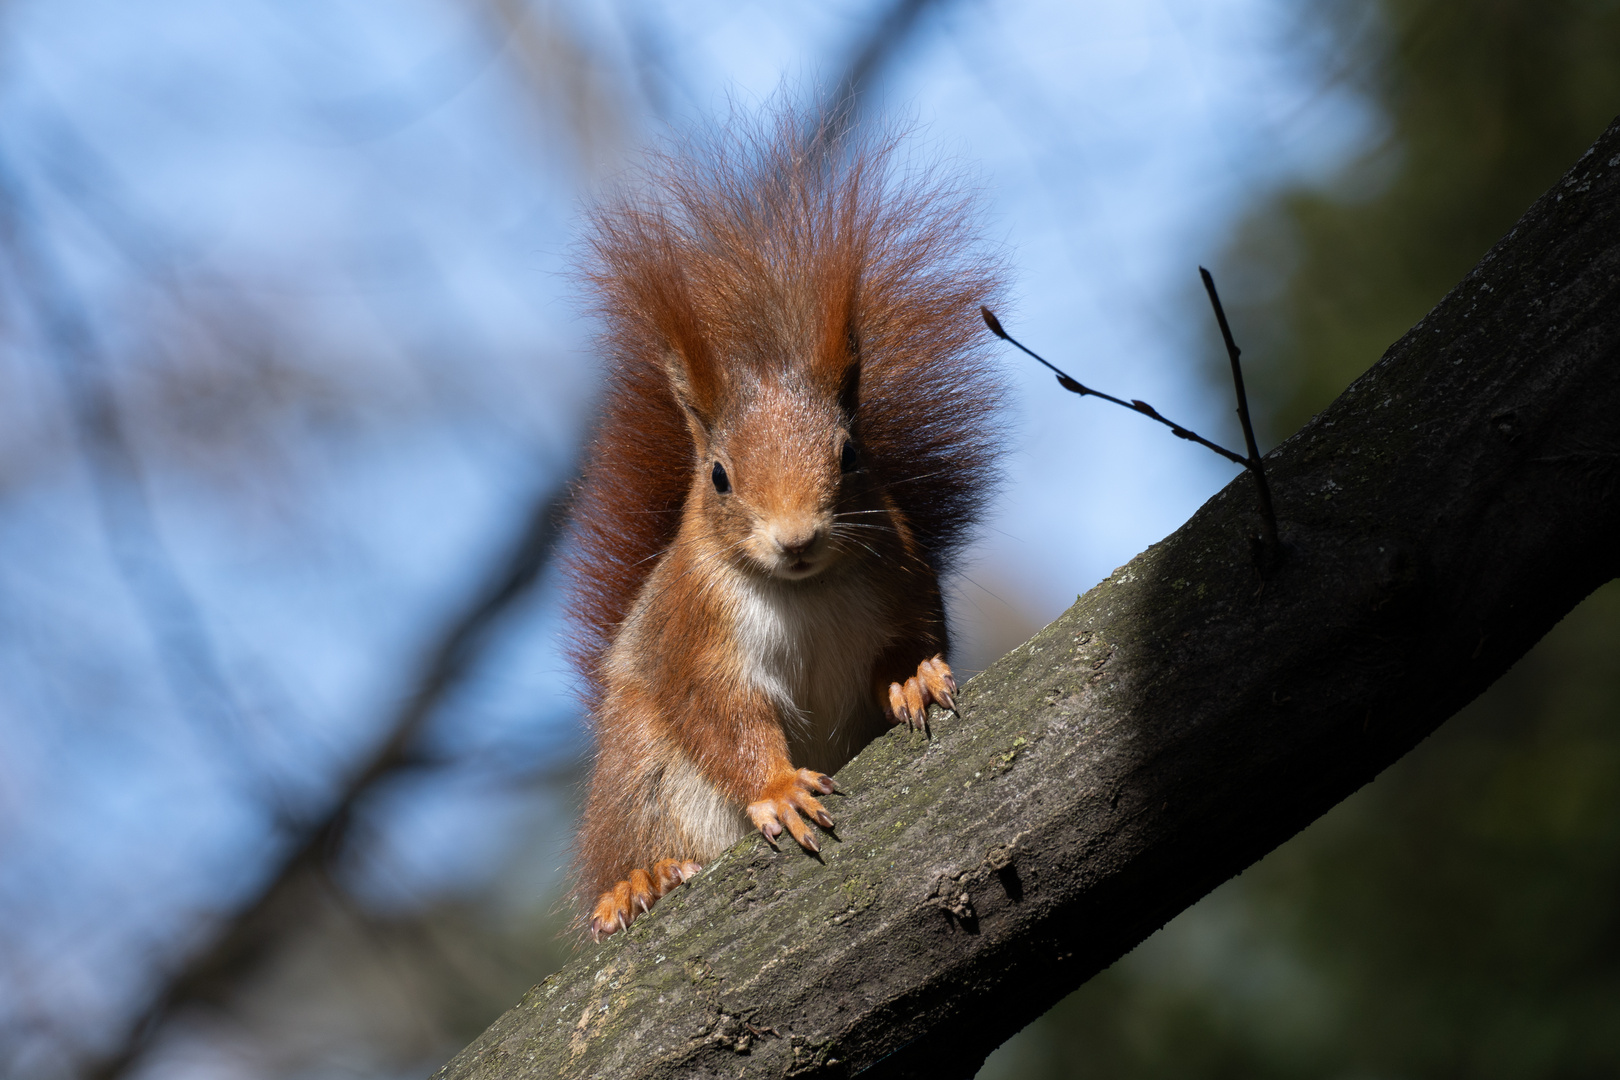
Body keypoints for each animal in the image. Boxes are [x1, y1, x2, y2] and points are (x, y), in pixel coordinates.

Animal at [567, 107, 997, 939]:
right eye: (719, 477)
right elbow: (725, 721)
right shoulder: (697, 636)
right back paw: (637, 883)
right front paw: (779, 790)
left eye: (850, 453)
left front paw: (913, 680)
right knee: (635, 832)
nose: (796, 538)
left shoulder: (903, 575)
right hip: (636, 772)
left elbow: (916, 639)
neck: (804, 592)